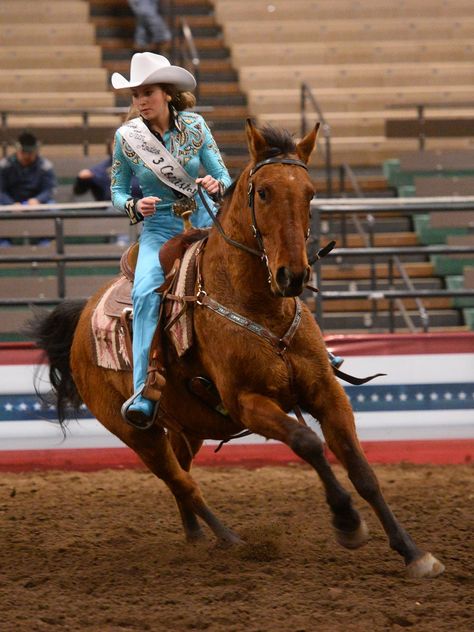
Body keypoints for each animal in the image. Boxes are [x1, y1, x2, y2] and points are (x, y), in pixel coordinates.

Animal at [28, 121, 444, 580]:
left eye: (310, 192)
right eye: (262, 192)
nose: (292, 275)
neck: (262, 310)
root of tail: (83, 316)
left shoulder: (327, 392)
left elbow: (361, 469)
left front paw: (413, 552)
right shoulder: (247, 402)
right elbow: (307, 442)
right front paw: (347, 522)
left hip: (185, 427)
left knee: (182, 476)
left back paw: (197, 537)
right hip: (136, 433)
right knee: (182, 482)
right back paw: (229, 539)